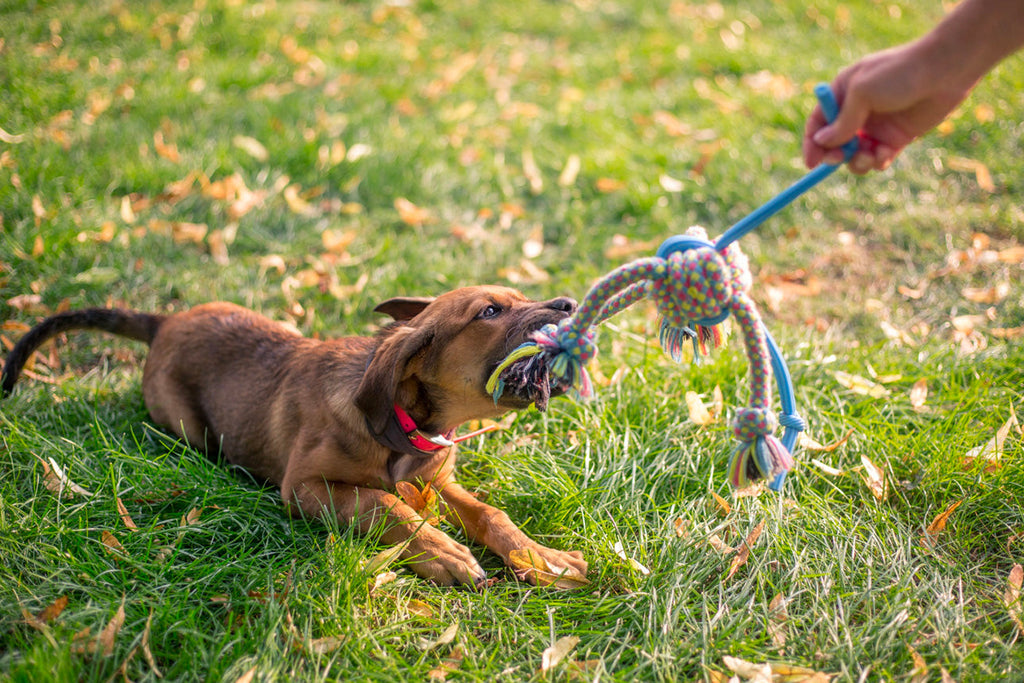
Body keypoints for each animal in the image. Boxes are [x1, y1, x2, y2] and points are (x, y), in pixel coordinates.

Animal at [2, 288, 593, 589]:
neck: (406, 425)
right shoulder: (305, 487)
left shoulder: (438, 482)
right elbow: (385, 505)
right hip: (189, 427)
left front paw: (542, 558)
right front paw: (444, 554)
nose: (569, 305)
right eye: (490, 311)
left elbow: (492, 513)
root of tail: (164, 321)